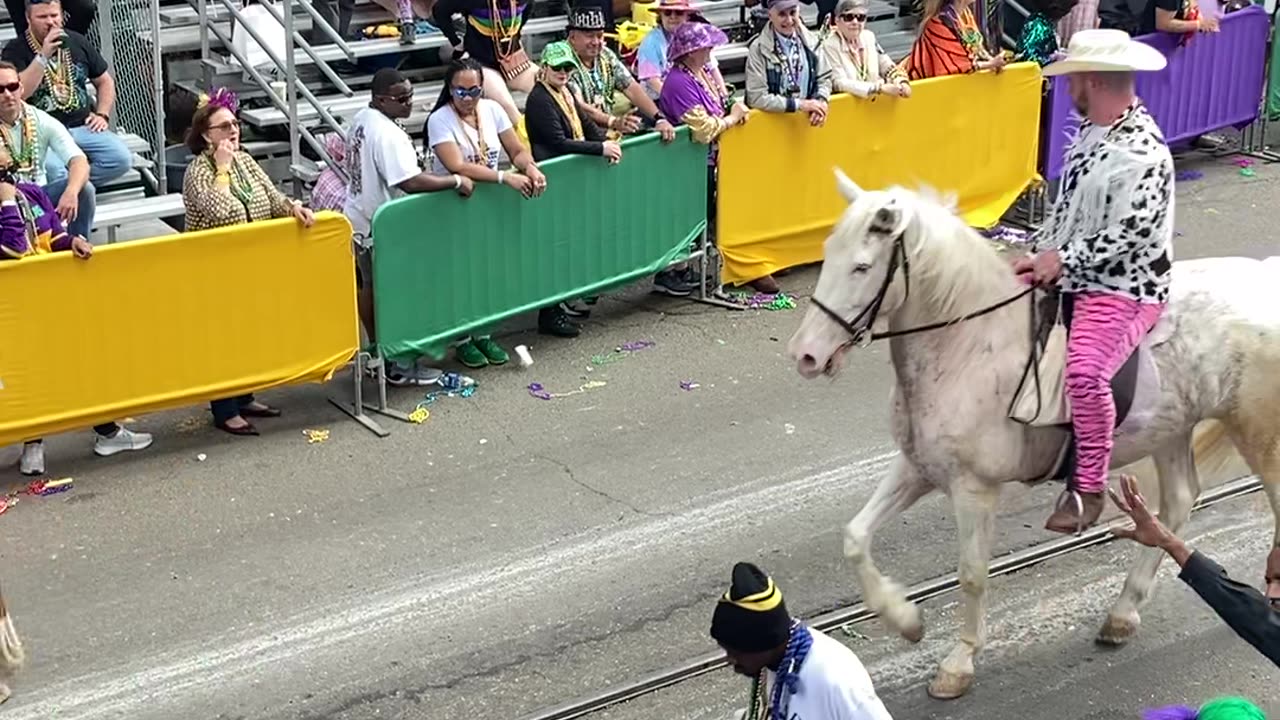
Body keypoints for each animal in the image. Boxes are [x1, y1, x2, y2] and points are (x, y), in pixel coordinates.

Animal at [778, 167, 1280, 696]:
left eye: (861, 267)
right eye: (827, 254)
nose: (805, 355)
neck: (968, 346)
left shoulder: (974, 488)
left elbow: (972, 574)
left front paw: (958, 662)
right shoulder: (918, 467)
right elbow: (855, 537)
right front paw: (906, 620)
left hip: (1258, 433)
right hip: (1169, 429)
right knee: (1180, 501)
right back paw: (1122, 615)